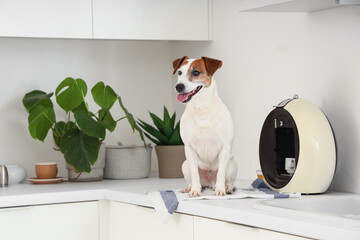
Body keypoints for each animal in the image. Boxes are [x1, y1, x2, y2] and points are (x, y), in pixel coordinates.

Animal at [173, 56, 238, 197]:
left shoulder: (224, 147)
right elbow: (194, 174)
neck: (201, 109)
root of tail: (209, 183)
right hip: (184, 164)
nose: (178, 86)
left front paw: (220, 190)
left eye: (196, 72)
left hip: (232, 164)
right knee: (192, 178)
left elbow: (221, 173)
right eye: (179, 72)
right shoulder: (189, 148)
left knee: (228, 179)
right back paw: (190, 187)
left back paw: (226, 188)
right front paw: (195, 190)